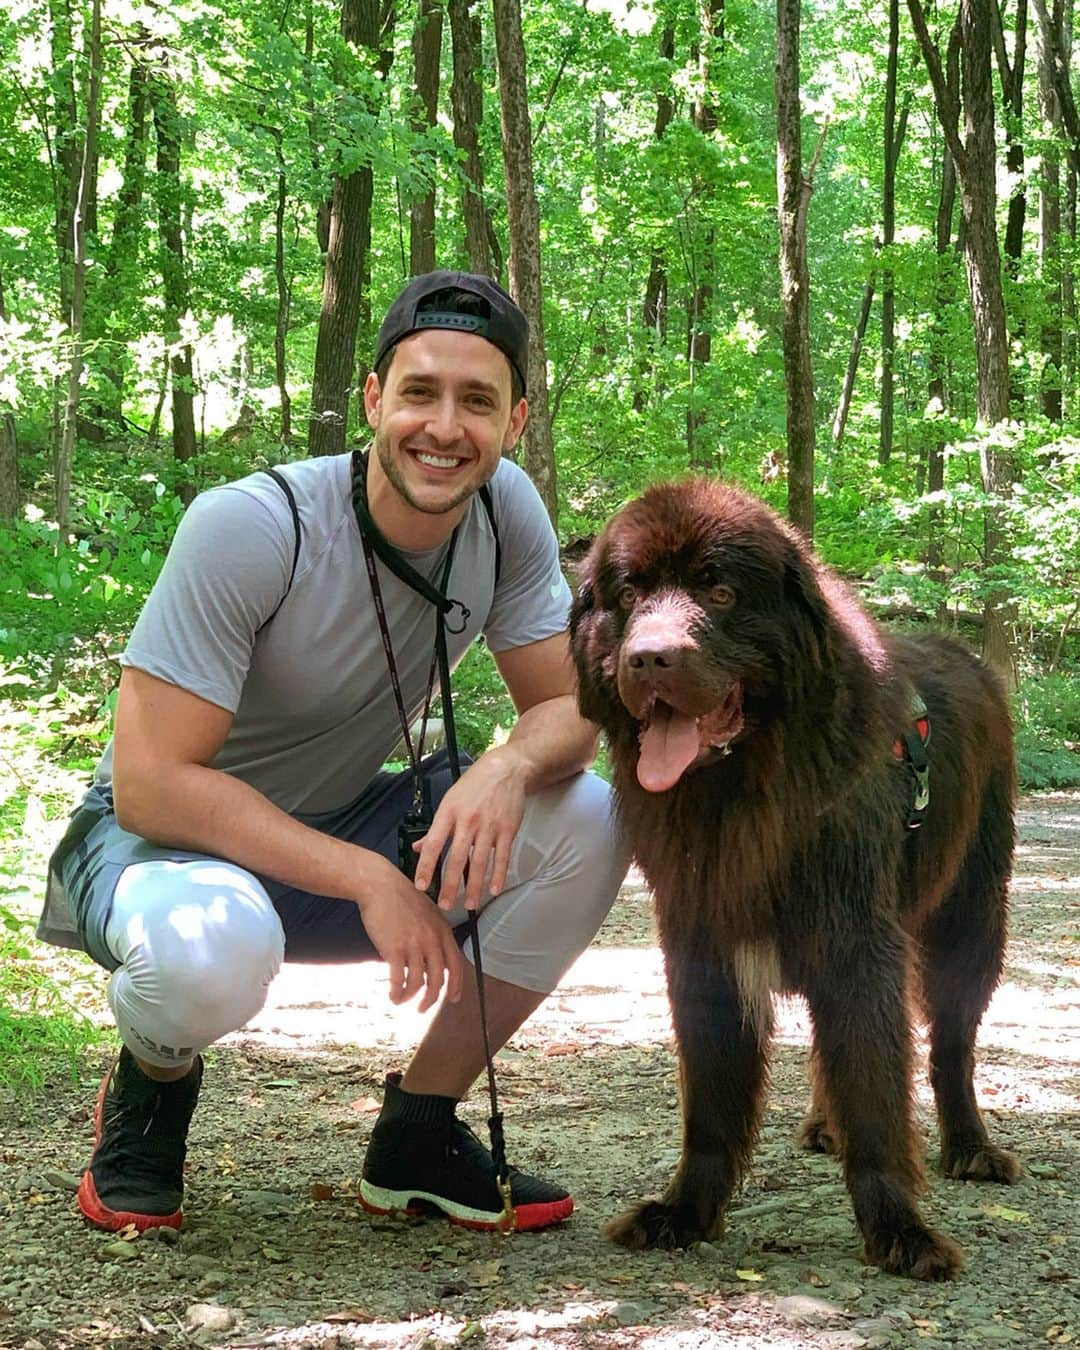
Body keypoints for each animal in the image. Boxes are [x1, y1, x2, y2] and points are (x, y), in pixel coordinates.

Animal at [572, 480, 1020, 1279]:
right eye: (628, 595)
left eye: (719, 592)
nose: (649, 659)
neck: (744, 789)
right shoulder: (699, 945)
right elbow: (712, 1102)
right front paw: (683, 1211)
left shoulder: (857, 943)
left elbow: (876, 1088)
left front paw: (899, 1228)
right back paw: (825, 1123)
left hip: (973, 913)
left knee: (951, 1044)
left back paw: (971, 1146)